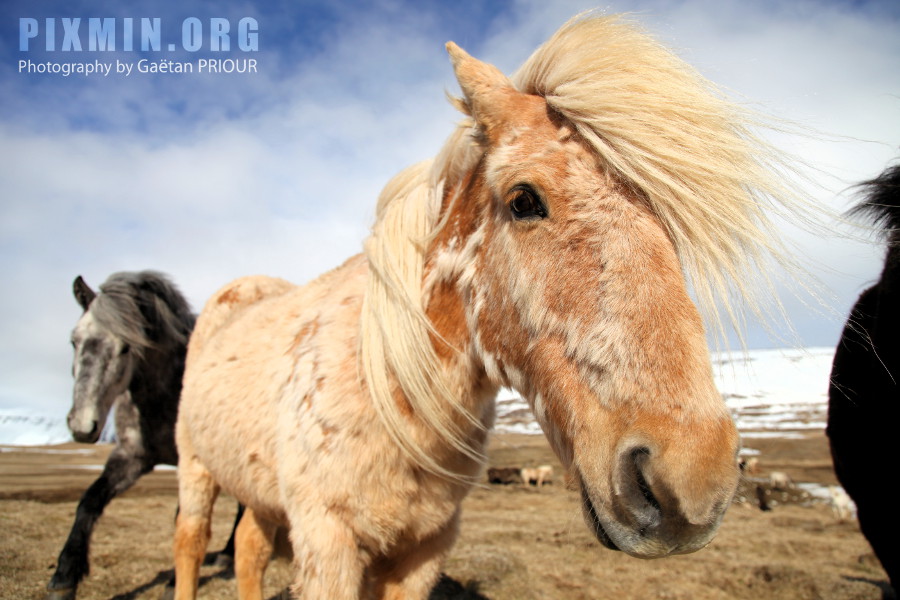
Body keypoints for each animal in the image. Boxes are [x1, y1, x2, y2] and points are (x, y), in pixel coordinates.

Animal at [45, 272, 243, 600]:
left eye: (126, 347)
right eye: (74, 341)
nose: (83, 426)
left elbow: (183, 519)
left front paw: (175, 582)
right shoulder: (132, 457)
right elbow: (90, 500)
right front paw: (65, 576)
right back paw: (227, 554)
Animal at [172, 15, 804, 600]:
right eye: (523, 200)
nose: (693, 479)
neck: (388, 392)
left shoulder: (423, 549)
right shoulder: (326, 542)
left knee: (249, 549)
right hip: (196, 468)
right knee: (191, 540)